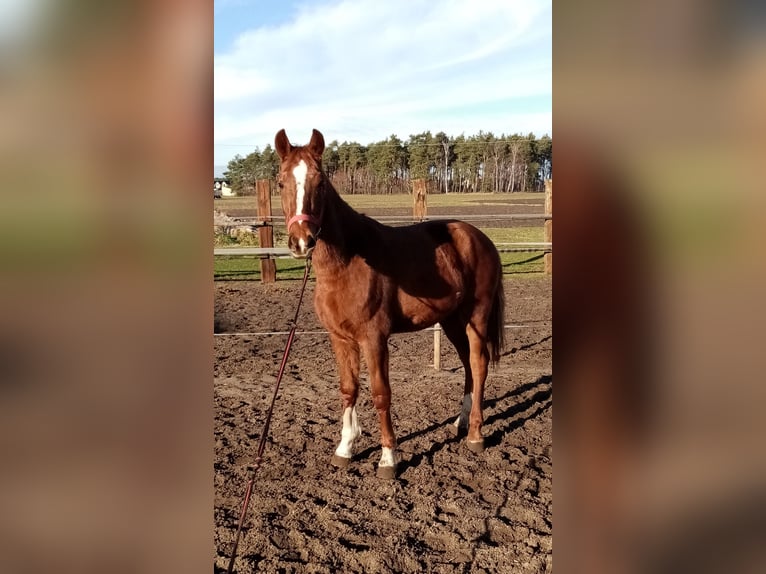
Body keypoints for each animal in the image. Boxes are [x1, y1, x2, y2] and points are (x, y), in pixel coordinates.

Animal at [274, 130, 504, 482]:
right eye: (281, 183)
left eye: (321, 182)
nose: (302, 241)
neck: (347, 263)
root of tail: (480, 238)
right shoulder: (340, 339)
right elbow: (348, 389)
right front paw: (345, 449)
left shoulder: (374, 339)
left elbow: (381, 394)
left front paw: (388, 458)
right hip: (453, 321)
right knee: (468, 365)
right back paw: (461, 422)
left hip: (476, 317)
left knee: (479, 365)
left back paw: (476, 435)